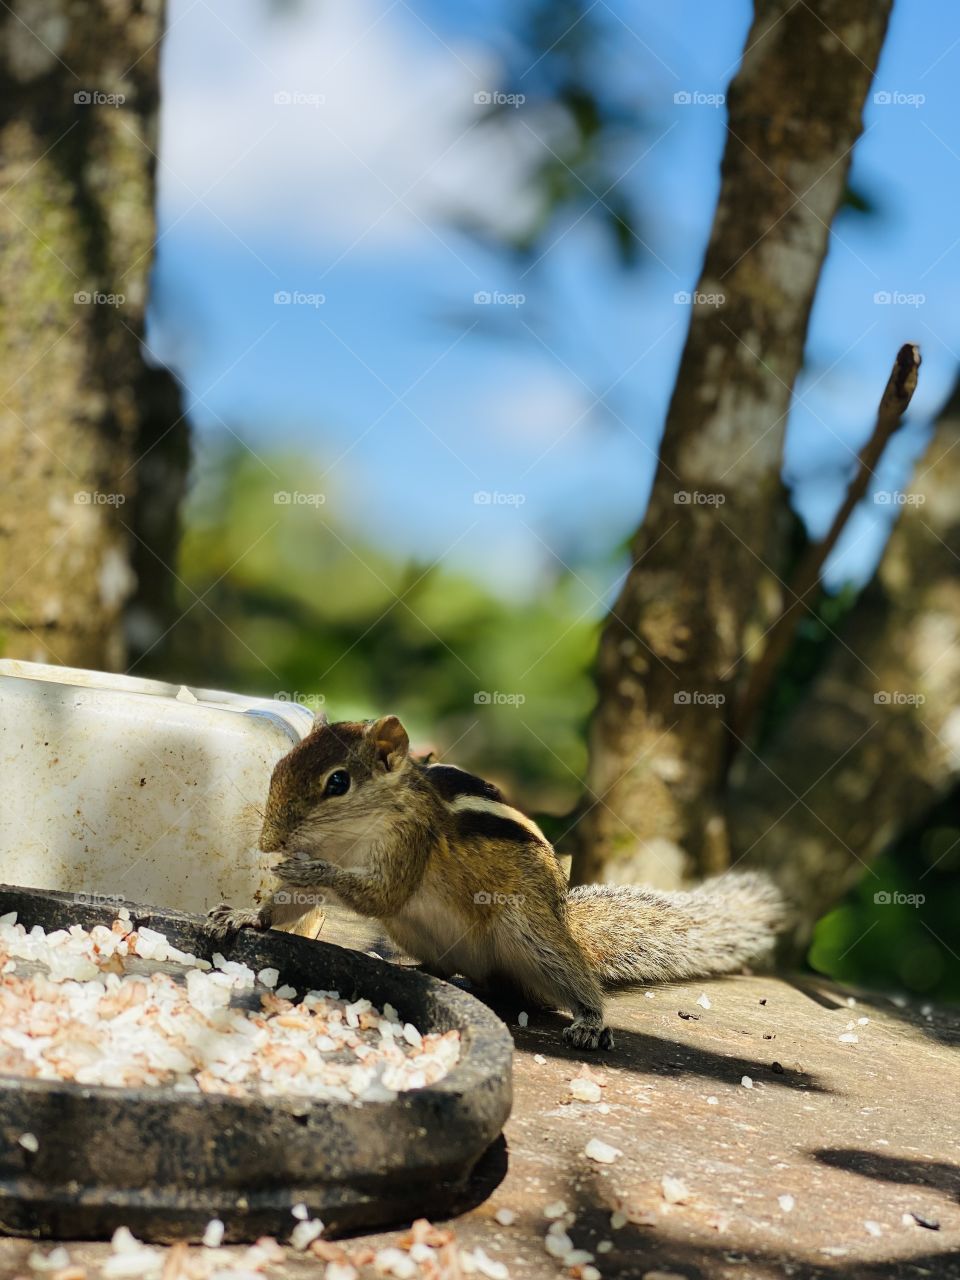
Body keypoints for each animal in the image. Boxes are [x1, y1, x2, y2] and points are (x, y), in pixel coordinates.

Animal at [208, 715, 788, 1051]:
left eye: (337, 782)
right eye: (280, 765)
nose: (269, 841)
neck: (352, 836)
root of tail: (566, 922)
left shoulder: (408, 848)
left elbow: (381, 894)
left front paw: (304, 870)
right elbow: (287, 906)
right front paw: (242, 915)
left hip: (531, 933)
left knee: (570, 977)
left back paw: (590, 1020)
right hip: (415, 933)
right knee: (465, 974)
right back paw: (425, 970)